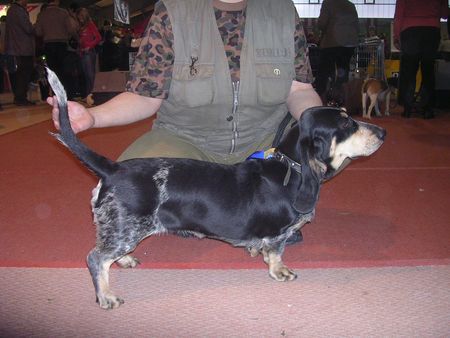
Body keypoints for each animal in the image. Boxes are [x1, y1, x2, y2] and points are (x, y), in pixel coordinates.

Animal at [46, 68, 386, 308]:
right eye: (346, 124)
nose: (383, 132)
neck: (291, 166)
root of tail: (113, 168)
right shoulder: (278, 234)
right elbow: (276, 253)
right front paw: (280, 271)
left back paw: (126, 260)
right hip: (126, 230)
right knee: (96, 259)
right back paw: (106, 296)